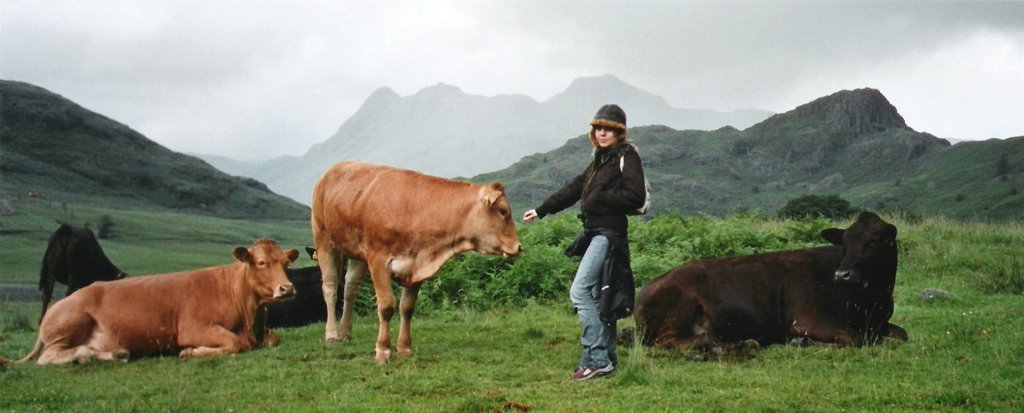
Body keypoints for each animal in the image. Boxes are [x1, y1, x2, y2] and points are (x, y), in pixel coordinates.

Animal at [7, 239, 296, 364]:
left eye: (286, 263)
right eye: (261, 262)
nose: (287, 288)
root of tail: (56, 306)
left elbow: (274, 338)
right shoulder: (193, 327)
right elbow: (235, 343)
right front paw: (190, 352)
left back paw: (115, 354)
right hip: (71, 321)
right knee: (47, 357)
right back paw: (84, 355)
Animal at [309, 161, 520, 364]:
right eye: (503, 211)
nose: (518, 246)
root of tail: (332, 170)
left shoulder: (417, 267)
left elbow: (407, 308)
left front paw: (404, 348)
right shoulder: (378, 260)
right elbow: (386, 306)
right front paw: (382, 351)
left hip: (357, 254)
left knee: (350, 288)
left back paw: (345, 331)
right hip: (323, 240)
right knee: (330, 287)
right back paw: (332, 334)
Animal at [634, 213, 909, 352]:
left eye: (873, 242)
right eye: (845, 242)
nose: (842, 274)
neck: (870, 301)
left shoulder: (879, 324)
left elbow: (901, 335)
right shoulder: (807, 320)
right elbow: (856, 339)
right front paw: (803, 342)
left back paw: (744, 343)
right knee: (667, 341)